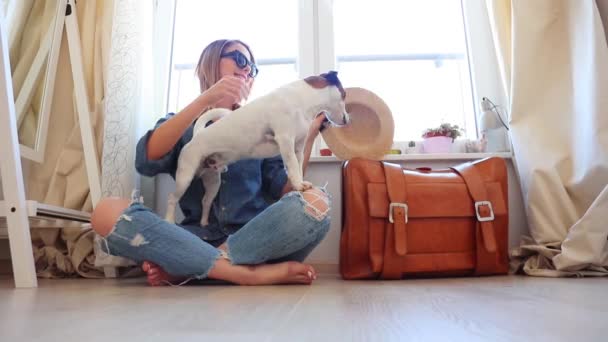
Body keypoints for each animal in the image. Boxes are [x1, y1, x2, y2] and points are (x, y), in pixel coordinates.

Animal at [166, 71, 350, 226]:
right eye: (344, 95)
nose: (348, 120)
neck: (303, 100)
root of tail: (197, 135)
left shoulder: (298, 147)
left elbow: (297, 166)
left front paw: (299, 183)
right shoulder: (285, 140)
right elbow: (292, 166)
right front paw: (299, 185)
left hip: (213, 180)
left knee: (205, 201)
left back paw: (204, 222)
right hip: (185, 177)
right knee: (172, 198)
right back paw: (168, 220)